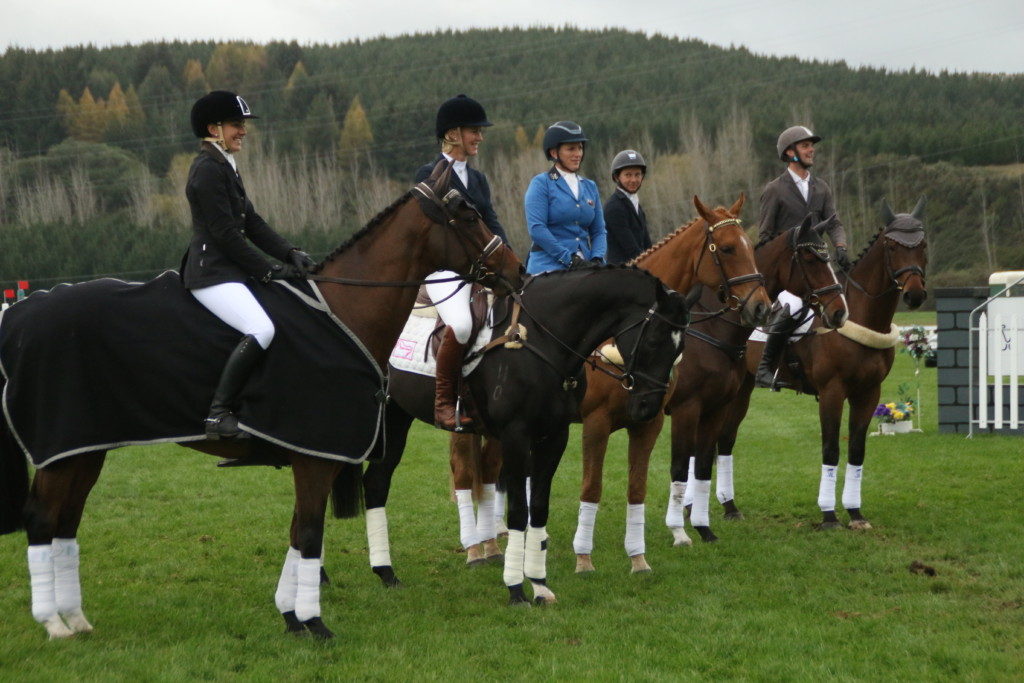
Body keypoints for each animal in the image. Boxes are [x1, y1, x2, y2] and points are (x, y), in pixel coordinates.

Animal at [0, 161, 524, 643]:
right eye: (469, 215)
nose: (516, 270)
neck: (344, 312)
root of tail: (22, 313)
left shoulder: (314, 456)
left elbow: (297, 533)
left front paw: (292, 617)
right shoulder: (316, 457)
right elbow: (309, 533)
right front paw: (315, 623)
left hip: (85, 449)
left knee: (65, 522)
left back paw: (75, 619)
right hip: (62, 449)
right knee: (42, 519)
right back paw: (54, 623)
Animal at [350, 264, 688, 606]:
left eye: (681, 346)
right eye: (654, 340)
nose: (648, 407)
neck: (544, 341)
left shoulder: (555, 436)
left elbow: (538, 507)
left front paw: (539, 584)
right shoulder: (516, 436)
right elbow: (517, 511)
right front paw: (515, 588)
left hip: (397, 417)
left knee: (376, 483)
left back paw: (386, 573)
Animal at [663, 216, 847, 548]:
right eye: (810, 259)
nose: (840, 311)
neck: (710, 328)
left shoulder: (714, 406)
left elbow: (701, 461)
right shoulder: (686, 407)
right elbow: (682, 464)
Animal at [720, 197, 929, 528]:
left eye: (922, 245)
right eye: (892, 247)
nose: (915, 294)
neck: (861, 318)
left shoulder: (869, 394)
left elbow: (856, 449)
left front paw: (856, 513)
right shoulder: (832, 392)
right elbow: (830, 449)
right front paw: (829, 515)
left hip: (741, 391)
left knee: (725, 439)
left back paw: (728, 507)